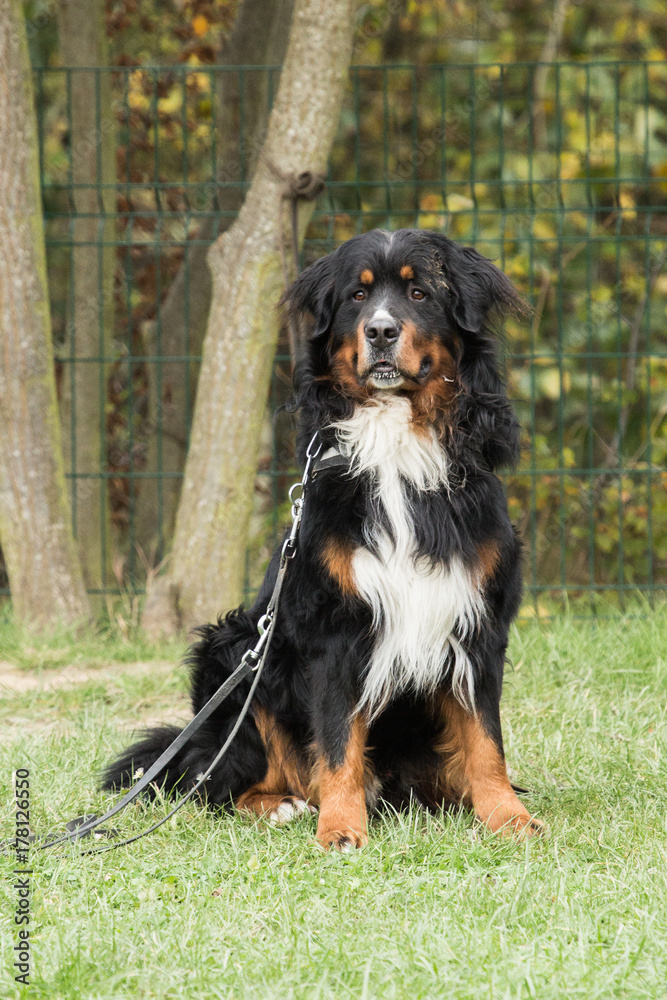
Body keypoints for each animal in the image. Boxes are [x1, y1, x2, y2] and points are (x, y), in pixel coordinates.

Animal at [104, 230, 544, 848]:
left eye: (419, 292)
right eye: (358, 296)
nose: (380, 331)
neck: (397, 447)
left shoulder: (476, 619)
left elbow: (485, 739)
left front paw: (508, 816)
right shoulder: (335, 627)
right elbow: (337, 741)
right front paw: (340, 827)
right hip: (237, 650)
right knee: (220, 782)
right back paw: (281, 804)